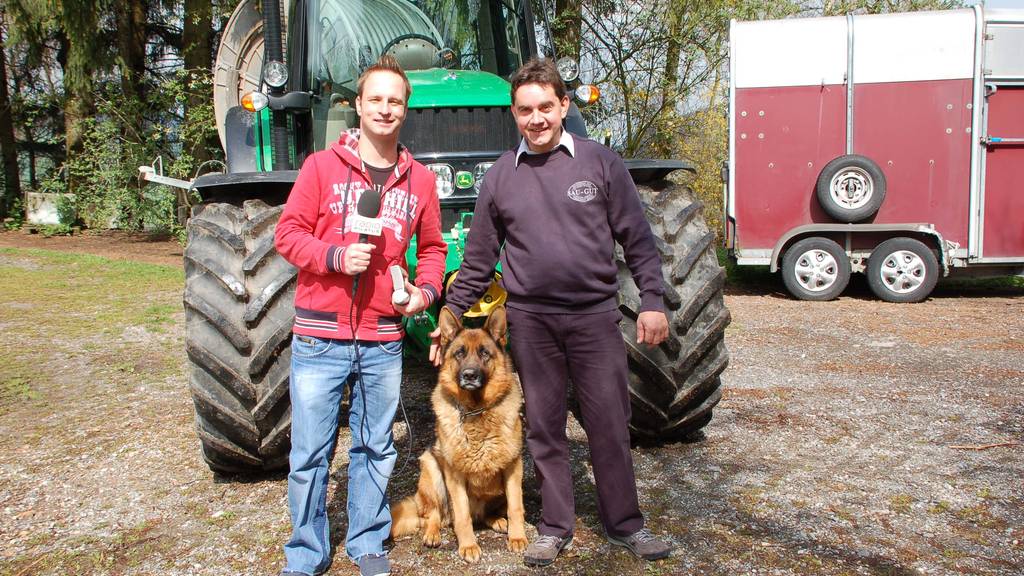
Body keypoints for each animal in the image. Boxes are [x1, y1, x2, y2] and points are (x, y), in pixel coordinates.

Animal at [389, 305, 528, 561]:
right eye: (459, 354)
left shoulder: (513, 466)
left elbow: (516, 507)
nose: (470, 375)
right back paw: (433, 534)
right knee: (434, 516)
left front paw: (517, 538)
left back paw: (498, 520)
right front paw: (468, 546)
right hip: (432, 469)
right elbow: (462, 515)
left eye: (485, 353)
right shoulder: (454, 474)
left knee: (484, 514)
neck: (476, 410)